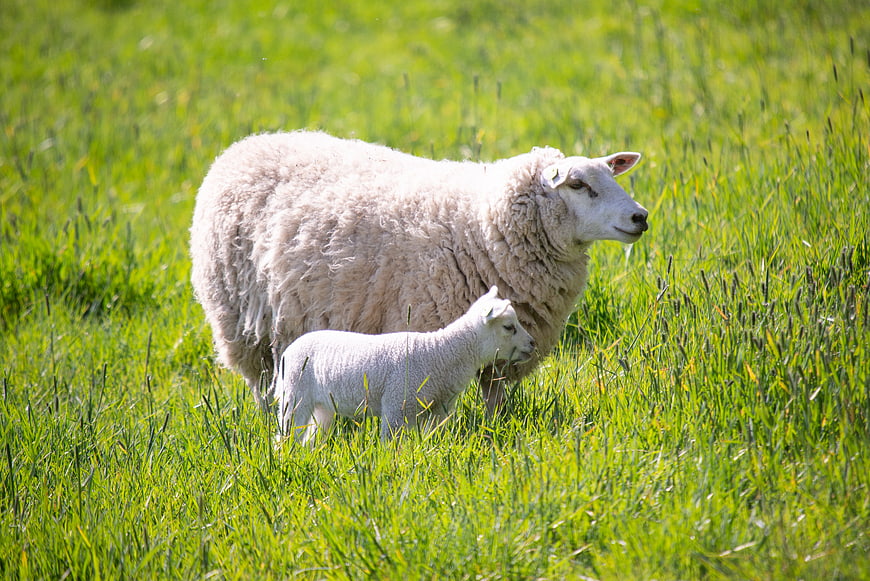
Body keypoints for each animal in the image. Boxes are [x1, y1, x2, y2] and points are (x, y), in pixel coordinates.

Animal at [190, 130, 648, 413]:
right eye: (577, 185)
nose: (640, 217)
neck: (483, 225)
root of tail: (246, 145)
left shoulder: (507, 347)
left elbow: (495, 400)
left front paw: (495, 432)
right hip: (242, 325)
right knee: (261, 385)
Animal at [274, 286, 535, 442]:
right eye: (509, 327)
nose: (532, 344)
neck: (443, 353)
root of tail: (290, 349)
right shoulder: (396, 405)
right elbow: (391, 444)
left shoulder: (438, 408)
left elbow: (433, 437)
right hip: (295, 397)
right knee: (287, 435)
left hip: (323, 406)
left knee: (311, 437)